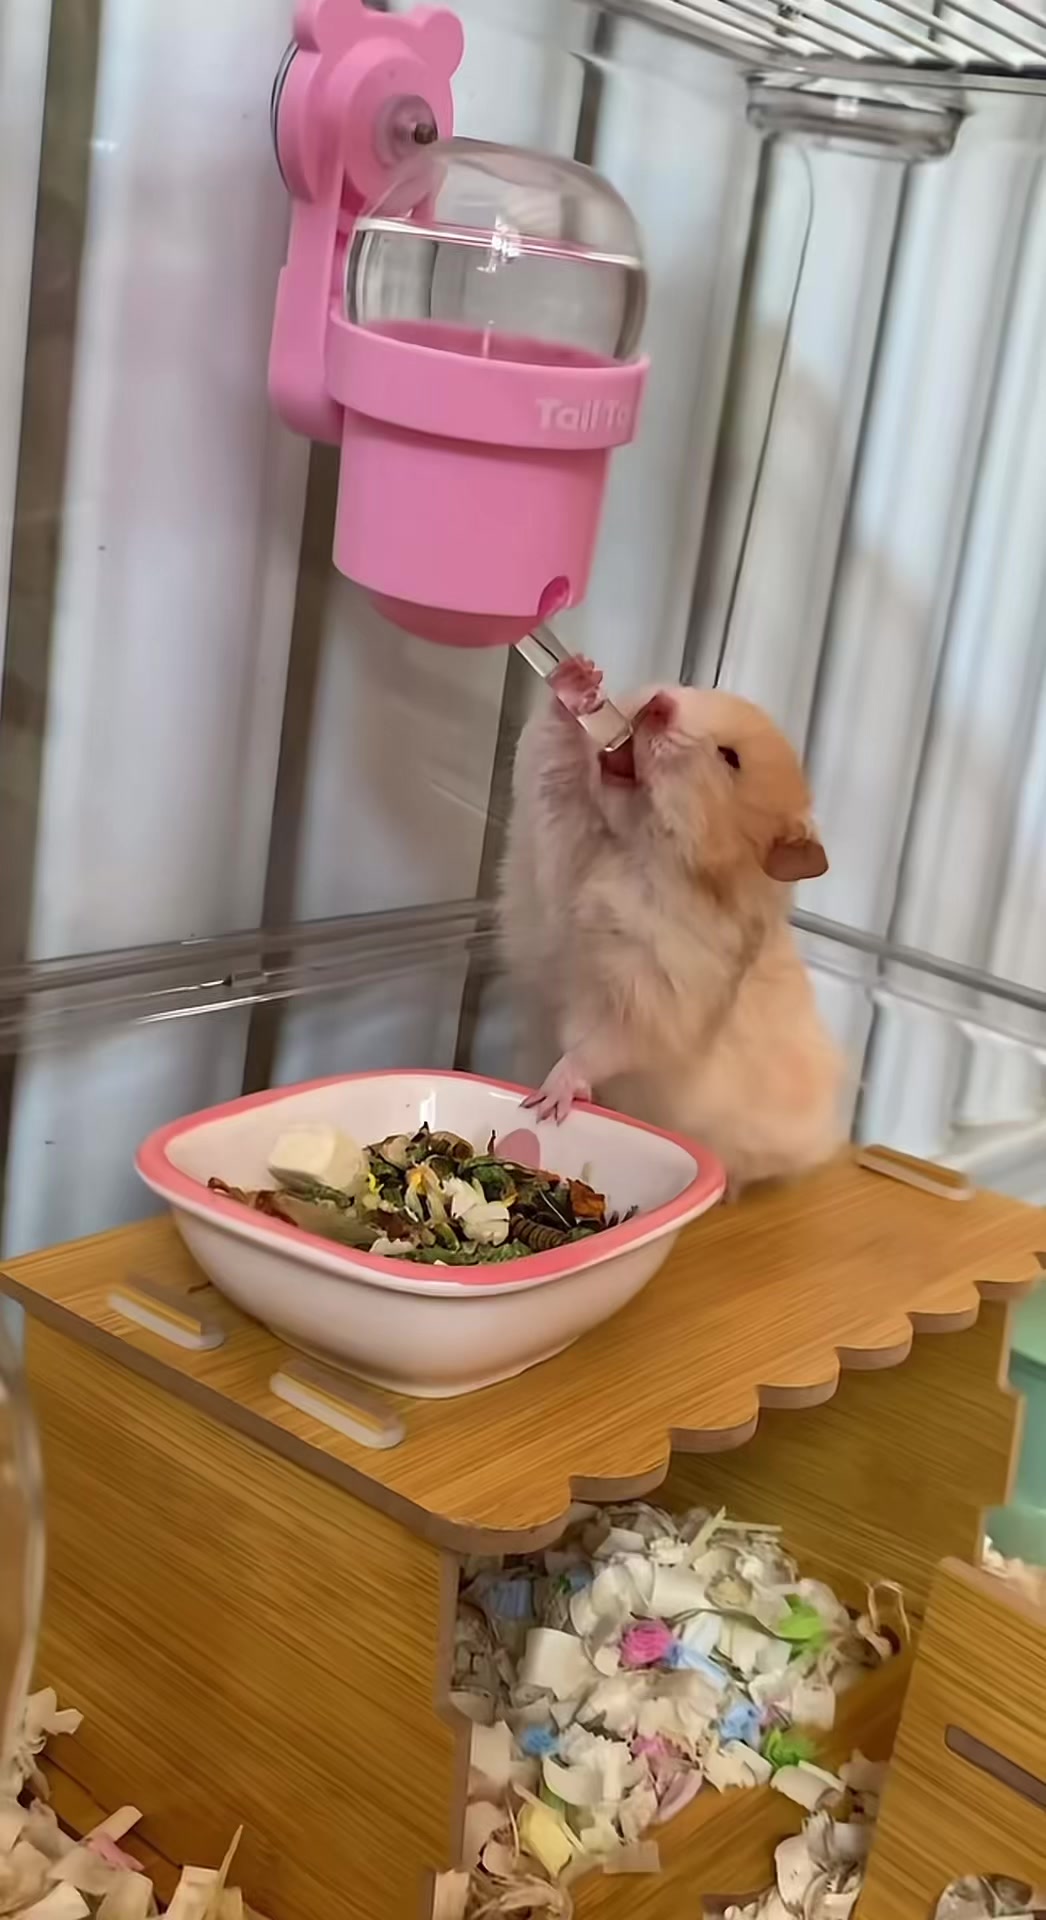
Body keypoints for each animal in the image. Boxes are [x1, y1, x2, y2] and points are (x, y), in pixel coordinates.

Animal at [498, 658, 845, 1193]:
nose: (658, 703)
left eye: (729, 758)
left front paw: (550, 1102)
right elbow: (550, 761)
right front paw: (579, 679)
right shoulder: (558, 841)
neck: (636, 851)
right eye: (699, 688)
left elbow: (597, 1045)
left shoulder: (654, 999)